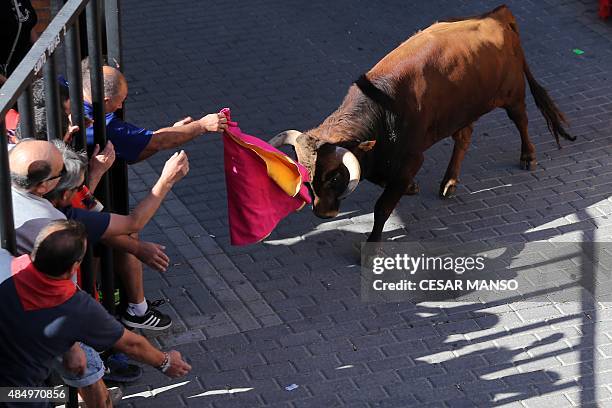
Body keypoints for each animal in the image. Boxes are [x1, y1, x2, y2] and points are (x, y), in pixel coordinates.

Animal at [270, 5, 572, 242]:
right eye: (306, 176)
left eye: (334, 176)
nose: (323, 213)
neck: (384, 108)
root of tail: (496, 15)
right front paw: (412, 187)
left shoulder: (412, 158)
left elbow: (383, 206)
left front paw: (372, 243)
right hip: (462, 111)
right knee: (464, 138)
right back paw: (449, 182)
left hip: (512, 94)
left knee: (521, 120)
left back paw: (528, 156)